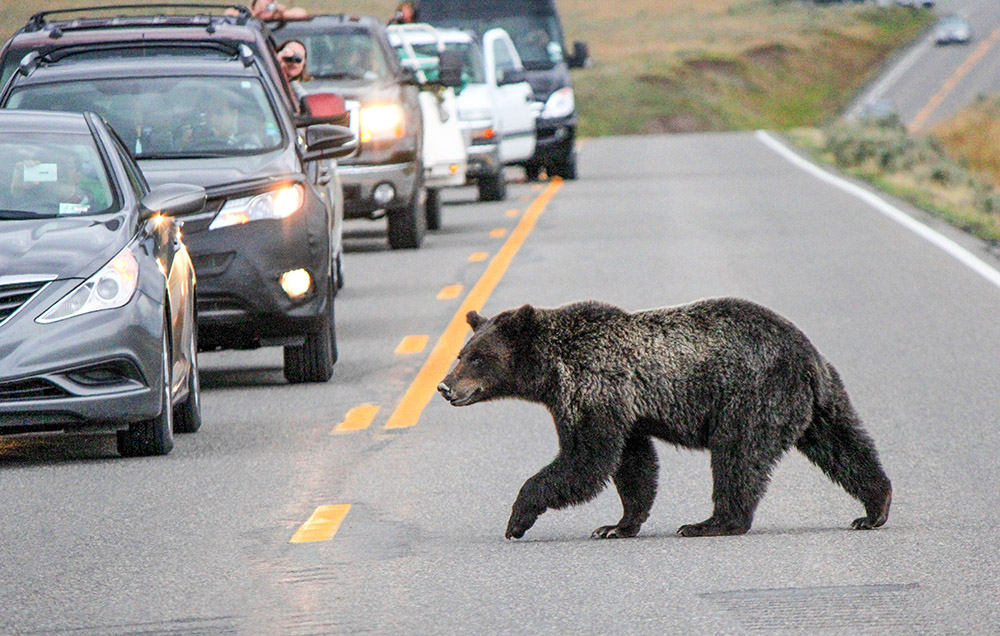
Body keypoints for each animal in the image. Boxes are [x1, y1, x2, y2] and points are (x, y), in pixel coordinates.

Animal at [438, 298, 892, 540]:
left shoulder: (594, 389)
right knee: (844, 446)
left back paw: (710, 522)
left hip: (751, 396)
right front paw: (617, 525)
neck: (550, 373)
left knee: (737, 456)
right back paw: (873, 508)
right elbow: (632, 465)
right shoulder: (625, 411)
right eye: (462, 353)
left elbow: (585, 461)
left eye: (478, 357)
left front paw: (517, 519)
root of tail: (806, 354)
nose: (444, 386)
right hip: (818, 403)